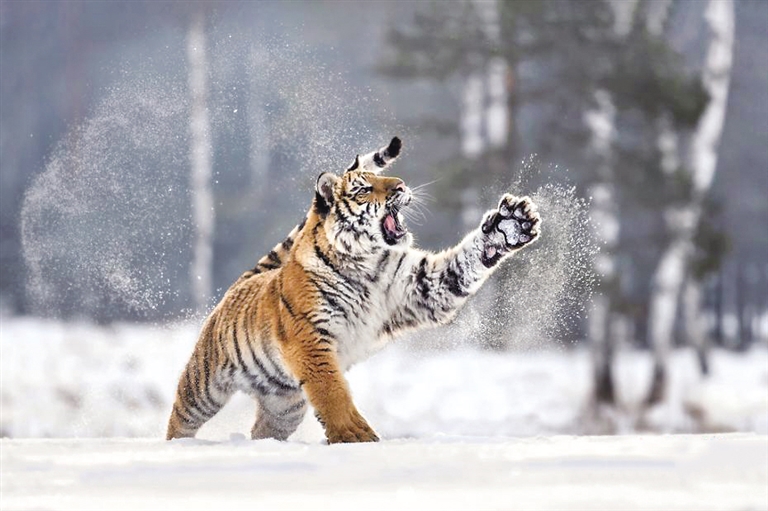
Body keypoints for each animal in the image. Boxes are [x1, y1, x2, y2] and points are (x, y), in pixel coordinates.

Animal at [166, 136, 540, 444]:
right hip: (203, 386)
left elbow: (463, 264)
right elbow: (333, 392)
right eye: (364, 189)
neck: (366, 263)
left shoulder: (423, 289)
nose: (401, 185)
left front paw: (510, 226)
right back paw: (178, 446)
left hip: (284, 404)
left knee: (264, 429)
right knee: (180, 418)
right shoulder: (310, 337)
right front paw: (354, 436)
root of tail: (243, 280)